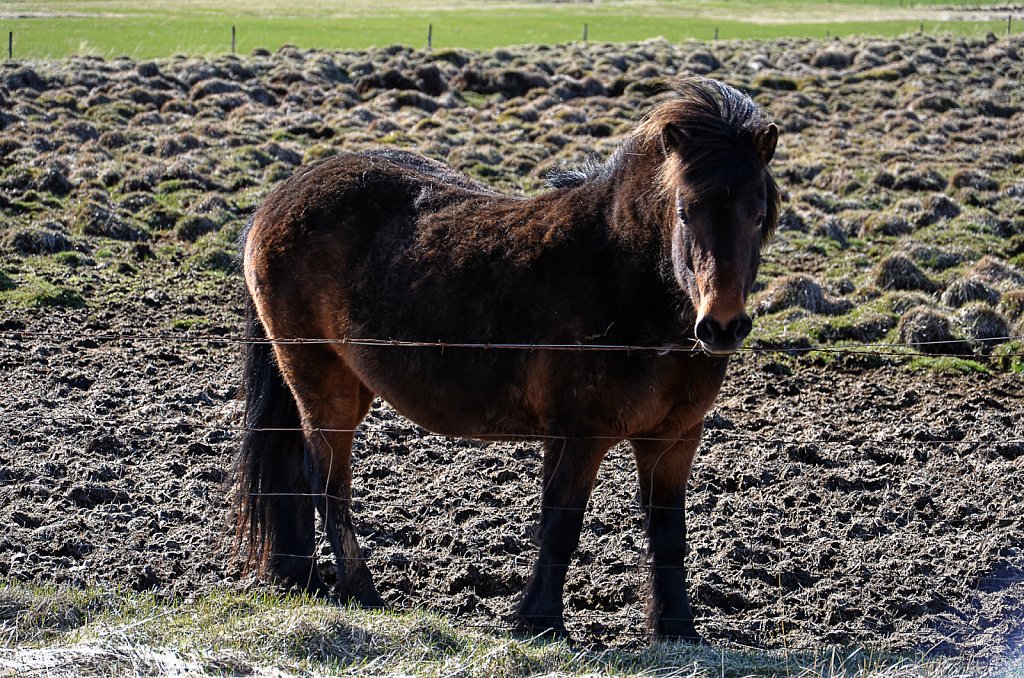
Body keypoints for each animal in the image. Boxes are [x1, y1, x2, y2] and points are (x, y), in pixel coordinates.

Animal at [230, 78, 774, 643]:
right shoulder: (578, 435)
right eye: (686, 212)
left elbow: (668, 535)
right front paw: (540, 622)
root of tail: (276, 200)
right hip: (321, 380)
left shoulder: (674, 438)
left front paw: (678, 629)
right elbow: (560, 526)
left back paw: (303, 578)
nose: (722, 326)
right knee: (327, 484)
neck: (625, 281)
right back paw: (361, 592)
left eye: (758, 215)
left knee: (296, 471)